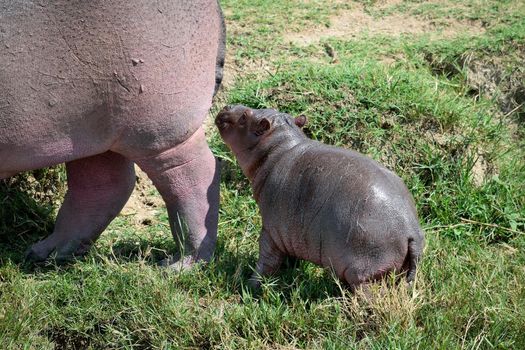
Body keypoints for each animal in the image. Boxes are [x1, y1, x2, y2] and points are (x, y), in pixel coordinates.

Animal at [0, 0, 225, 268]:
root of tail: (215, 8)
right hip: (93, 128)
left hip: (158, 131)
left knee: (194, 175)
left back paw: (180, 265)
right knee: (104, 186)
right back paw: (46, 254)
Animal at [215, 106, 424, 290]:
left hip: (363, 273)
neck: (277, 147)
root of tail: (410, 228)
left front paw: (249, 286)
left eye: (245, 116)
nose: (227, 106)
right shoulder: (288, 232)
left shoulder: (271, 230)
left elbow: (266, 261)